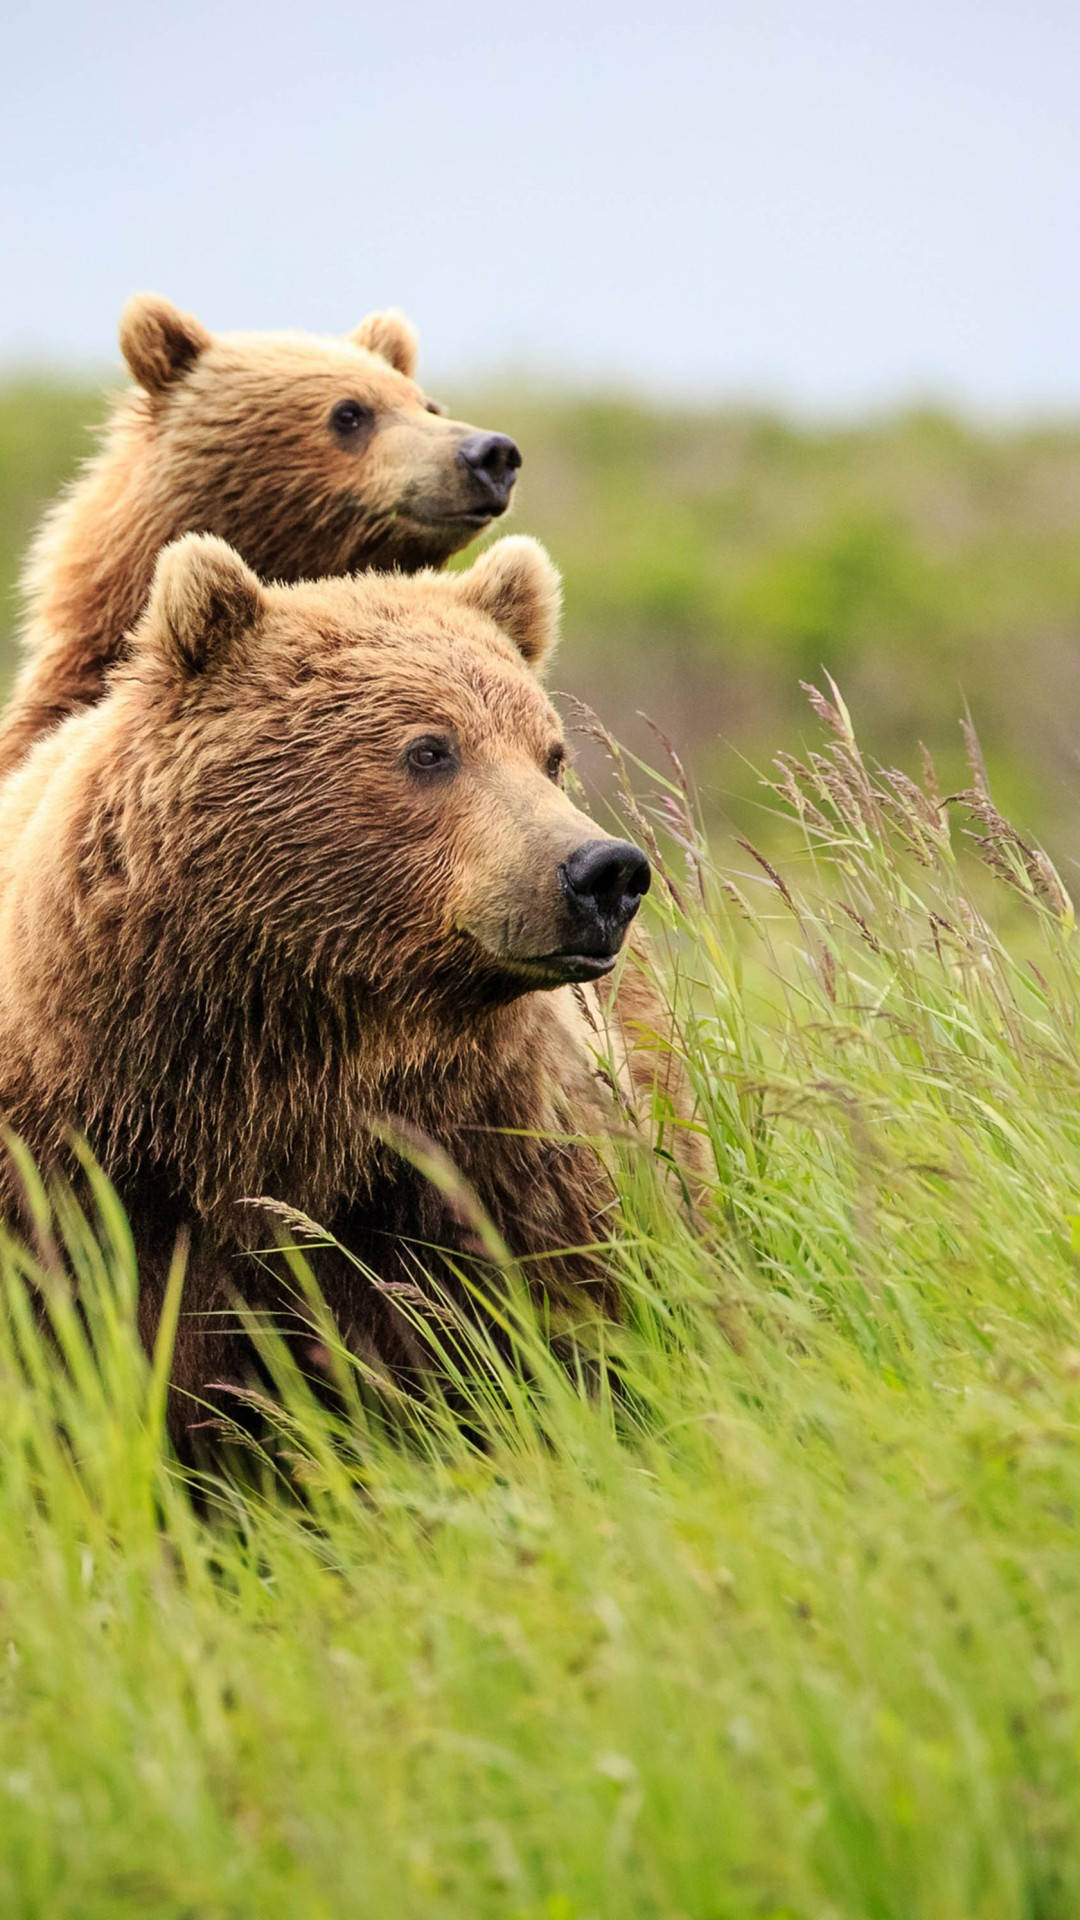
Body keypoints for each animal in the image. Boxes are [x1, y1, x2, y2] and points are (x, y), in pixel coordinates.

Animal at [0, 533, 661, 1437]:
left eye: (549, 753)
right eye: (430, 748)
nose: (604, 872)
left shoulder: (479, 1154)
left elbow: (558, 1318)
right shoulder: (73, 1177)